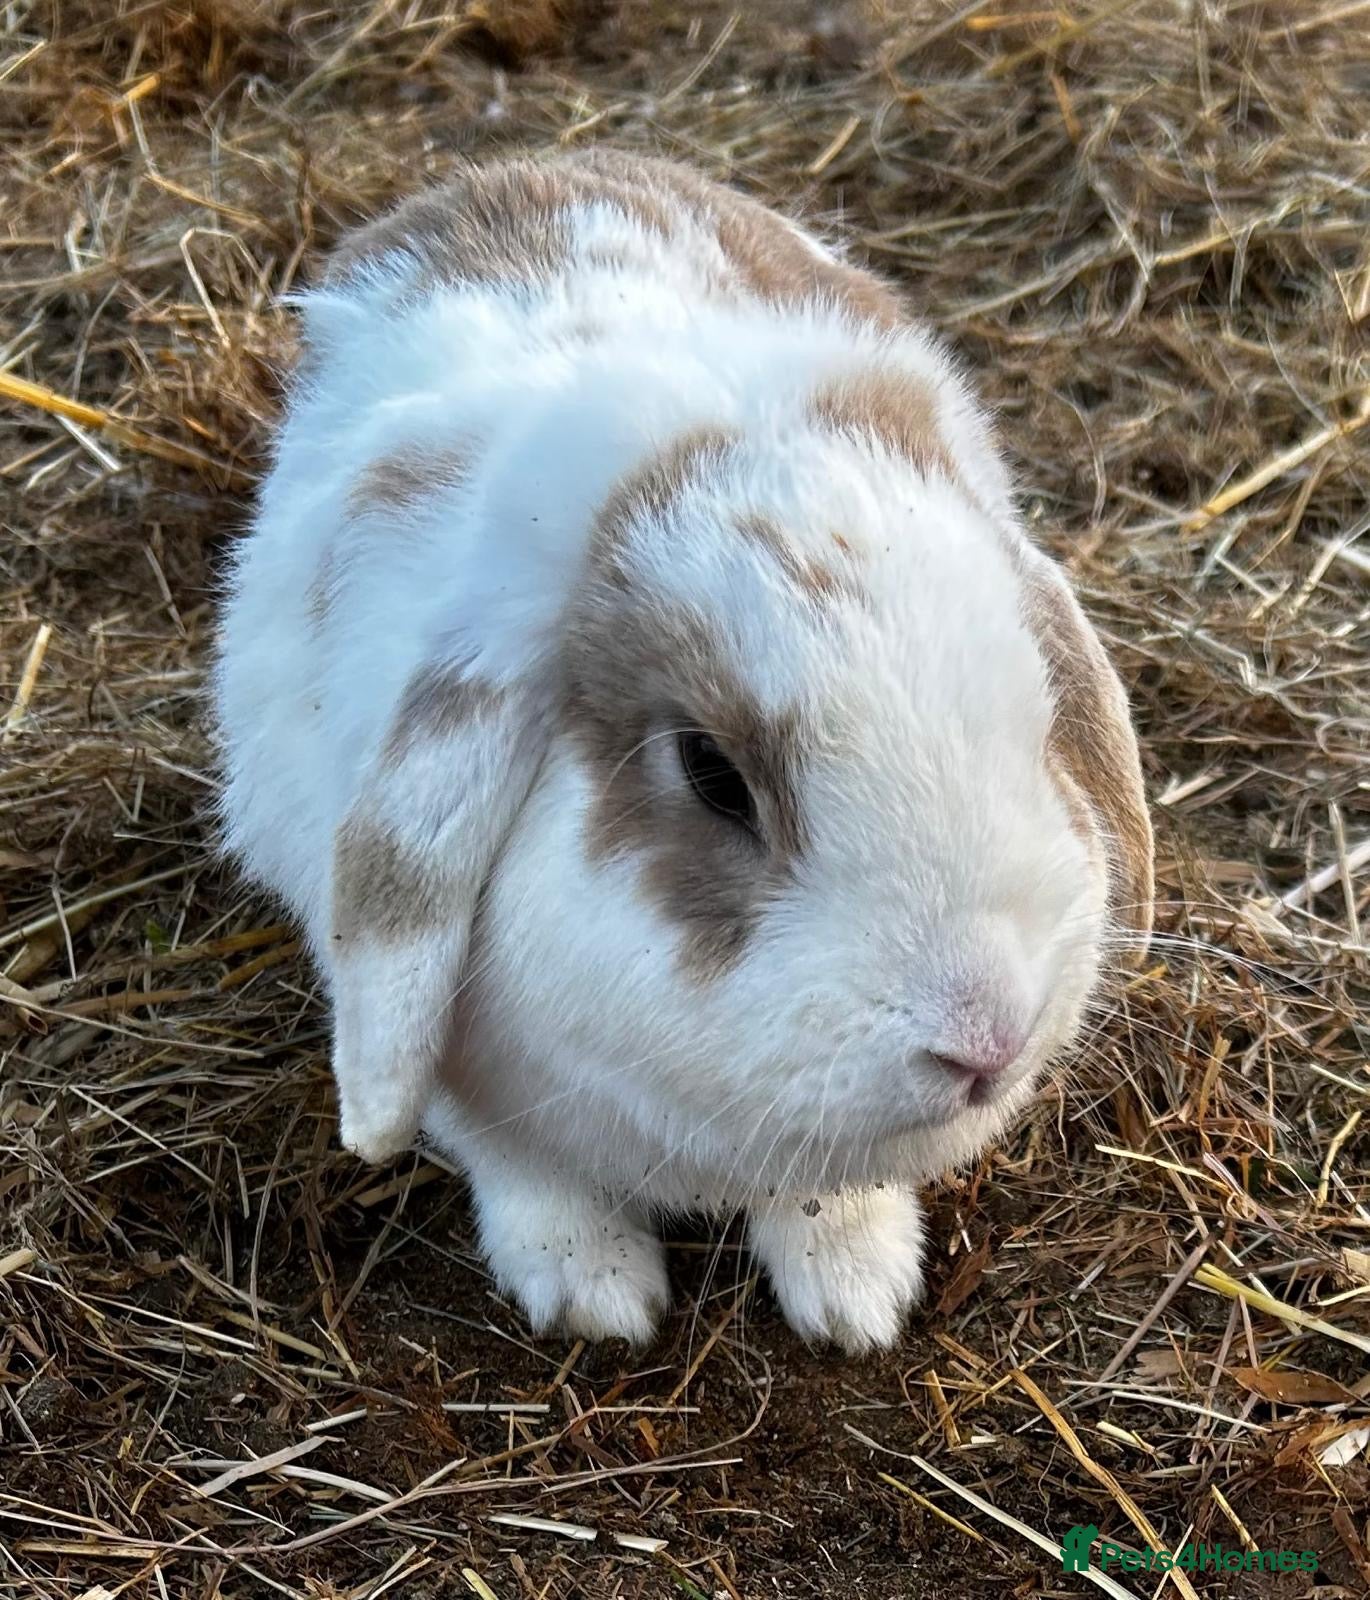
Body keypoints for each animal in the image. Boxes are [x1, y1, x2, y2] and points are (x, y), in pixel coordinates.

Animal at [214, 147, 1153, 1353]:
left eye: (1038, 713)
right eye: (712, 775)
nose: (986, 1038)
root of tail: (529, 165)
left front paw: (857, 1292)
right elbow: (518, 1163)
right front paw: (596, 1292)